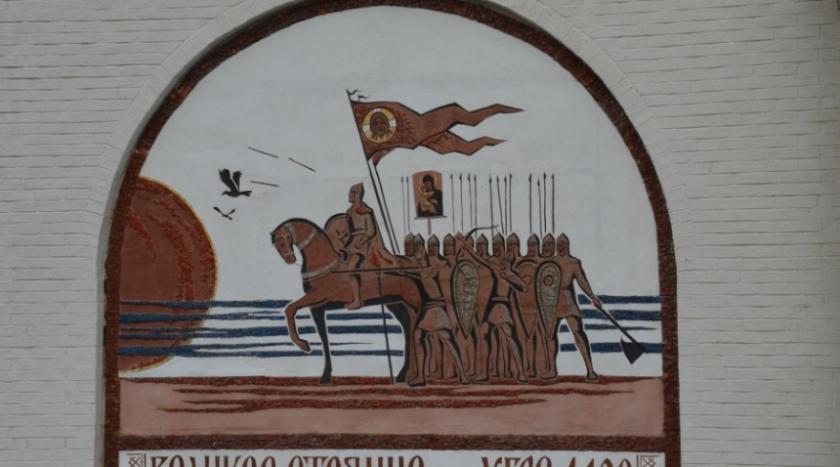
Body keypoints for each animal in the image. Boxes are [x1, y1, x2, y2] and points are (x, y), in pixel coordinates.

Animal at [270, 218, 422, 384]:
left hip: (412, 301)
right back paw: (404, 374)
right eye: (276, 244)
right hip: (395, 303)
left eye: (283, 240)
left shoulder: (318, 295)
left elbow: (290, 308)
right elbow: (323, 338)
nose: (289, 259)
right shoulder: (317, 307)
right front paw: (325, 376)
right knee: (408, 327)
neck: (324, 262)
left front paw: (303, 345)